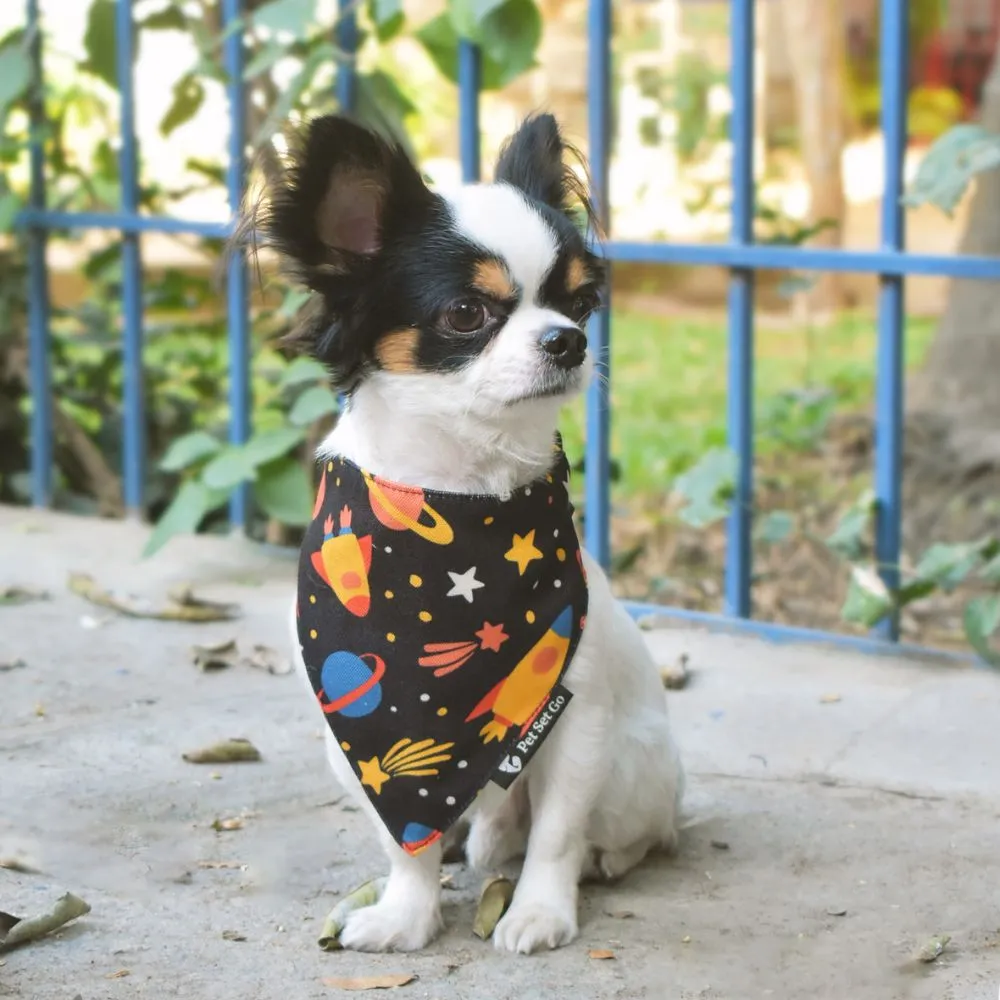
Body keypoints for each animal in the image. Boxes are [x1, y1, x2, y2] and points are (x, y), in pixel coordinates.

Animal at [262, 109, 684, 952]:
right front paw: (406, 915)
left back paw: (602, 859)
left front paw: (540, 913)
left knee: (625, 830)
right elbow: (406, 841)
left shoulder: (575, 717)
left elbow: (556, 833)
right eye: (466, 314)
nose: (568, 340)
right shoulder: (360, 752)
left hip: (634, 767)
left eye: (580, 303)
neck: (463, 495)